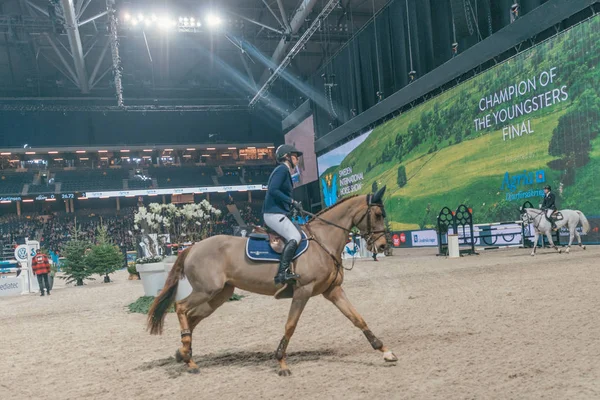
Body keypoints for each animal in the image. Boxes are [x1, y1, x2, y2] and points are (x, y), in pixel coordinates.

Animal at [148, 187, 396, 376]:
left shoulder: (333, 290)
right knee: (180, 307)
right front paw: (281, 362)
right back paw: (186, 354)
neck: (323, 241)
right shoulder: (303, 291)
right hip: (207, 290)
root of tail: (193, 247)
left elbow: (358, 319)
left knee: (192, 318)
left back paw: (186, 355)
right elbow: (291, 325)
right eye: (377, 214)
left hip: (219, 295)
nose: (383, 246)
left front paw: (384, 351)